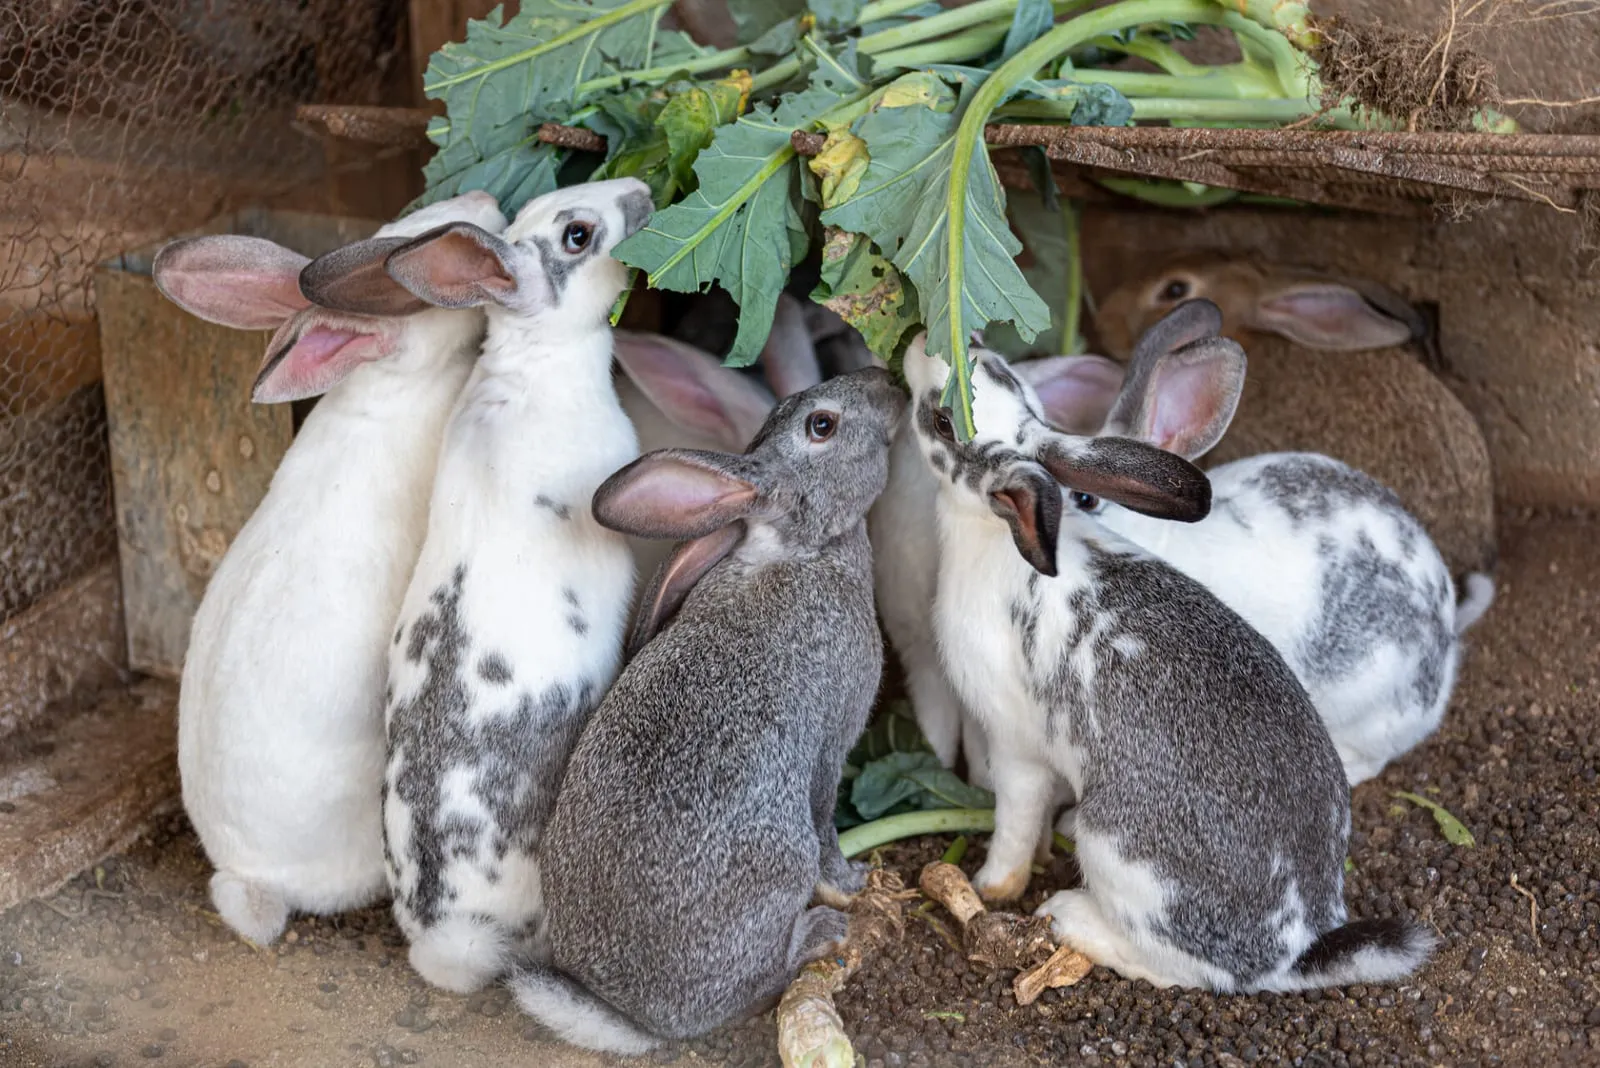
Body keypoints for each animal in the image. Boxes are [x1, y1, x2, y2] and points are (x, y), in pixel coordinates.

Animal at [511, 368, 908, 1052]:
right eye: (822, 425)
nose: (889, 382)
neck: (798, 549)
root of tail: (637, 1016)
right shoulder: (833, 744)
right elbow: (828, 819)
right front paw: (855, 883)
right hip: (781, 870)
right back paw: (819, 934)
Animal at [903, 303, 1435, 992]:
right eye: (1000, 369)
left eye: (943, 422)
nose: (922, 341)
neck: (995, 532)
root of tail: (1294, 947)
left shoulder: (1014, 747)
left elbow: (1014, 825)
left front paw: (991, 885)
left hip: (1114, 850)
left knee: (1181, 966)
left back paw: (1070, 918)